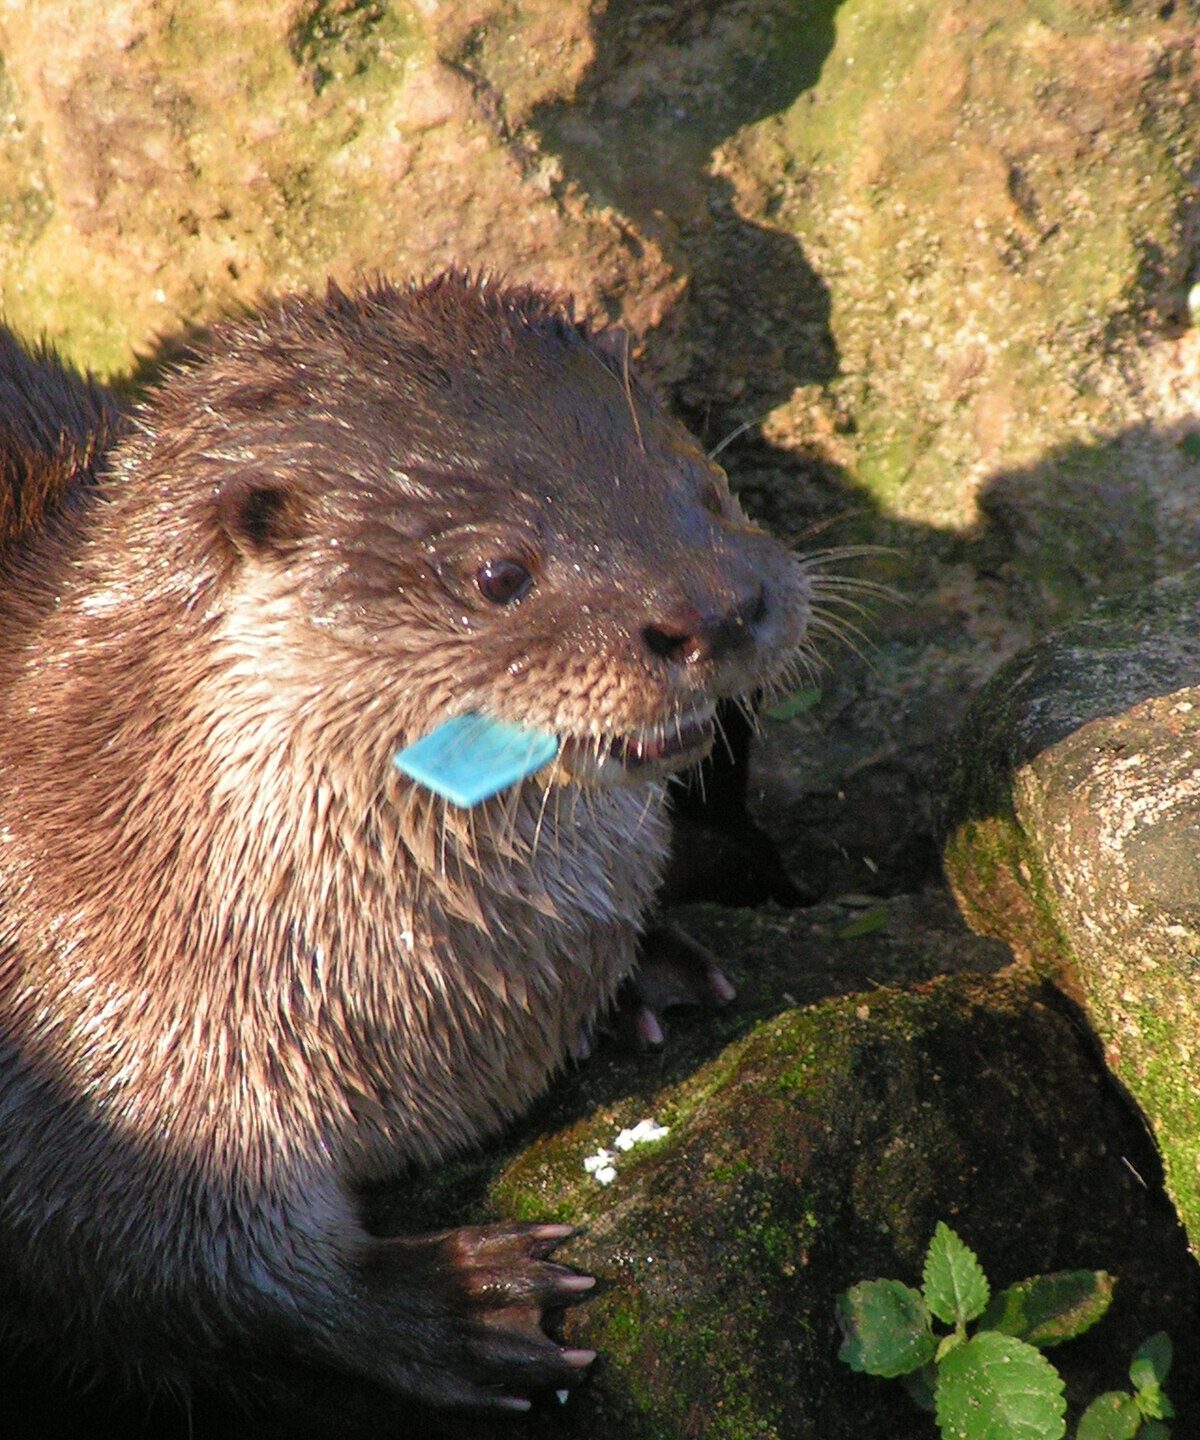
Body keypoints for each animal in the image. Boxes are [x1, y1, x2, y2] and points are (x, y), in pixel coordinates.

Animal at [0, 274, 812, 1420]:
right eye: (497, 572)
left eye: (707, 486)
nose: (719, 608)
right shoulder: (89, 1047)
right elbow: (158, 1257)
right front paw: (452, 1303)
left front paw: (646, 969)